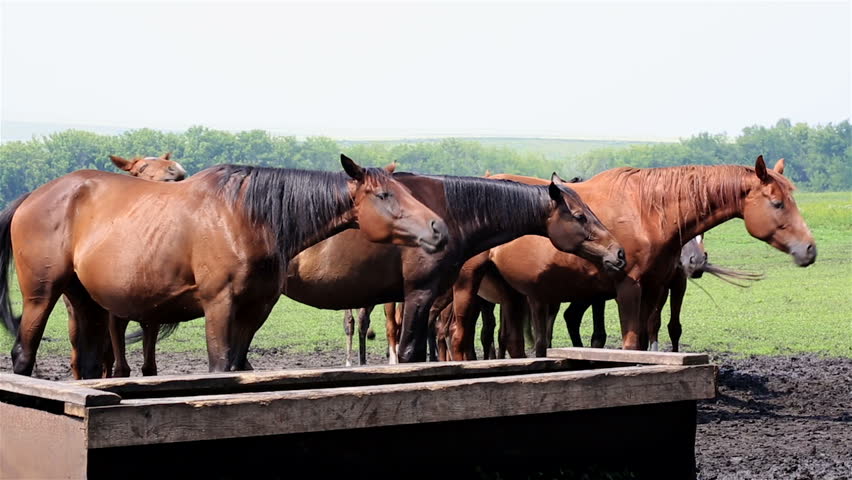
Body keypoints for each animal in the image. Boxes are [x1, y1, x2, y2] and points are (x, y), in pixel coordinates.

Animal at [0, 155, 448, 378]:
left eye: (405, 191)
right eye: (385, 195)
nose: (438, 228)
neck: (249, 217)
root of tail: (32, 196)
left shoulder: (253, 310)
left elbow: (235, 362)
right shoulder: (219, 306)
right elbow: (218, 366)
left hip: (86, 302)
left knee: (90, 364)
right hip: (41, 296)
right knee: (23, 354)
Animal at [447, 157, 816, 359]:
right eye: (777, 203)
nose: (809, 249)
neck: (647, 211)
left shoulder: (655, 288)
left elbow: (646, 339)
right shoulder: (629, 286)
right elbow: (629, 343)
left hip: (511, 293)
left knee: (509, 340)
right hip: (468, 285)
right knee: (458, 336)